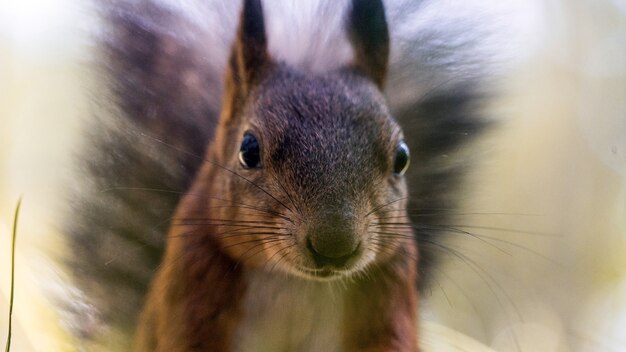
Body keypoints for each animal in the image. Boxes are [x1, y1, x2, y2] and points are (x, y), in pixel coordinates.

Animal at [63, 0, 490, 350]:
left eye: (402, 157)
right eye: (248, 150)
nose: (334, 246)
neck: (295, 284)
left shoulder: (389, 292)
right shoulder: (193, 285)